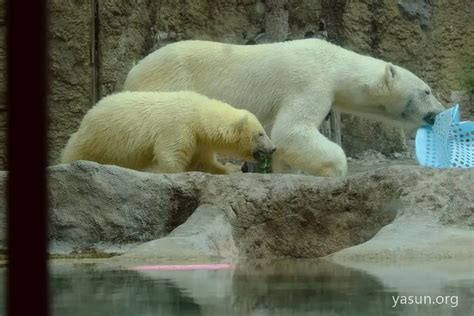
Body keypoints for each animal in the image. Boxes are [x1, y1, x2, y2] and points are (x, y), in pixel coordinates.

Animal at [123, 38, 444, 177]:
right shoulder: (309, 82)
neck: (335, 63)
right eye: (427, 90)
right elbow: (292, 131)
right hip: (166, 84)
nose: (439, 112)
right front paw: (336, 171)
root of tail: (132, 71)